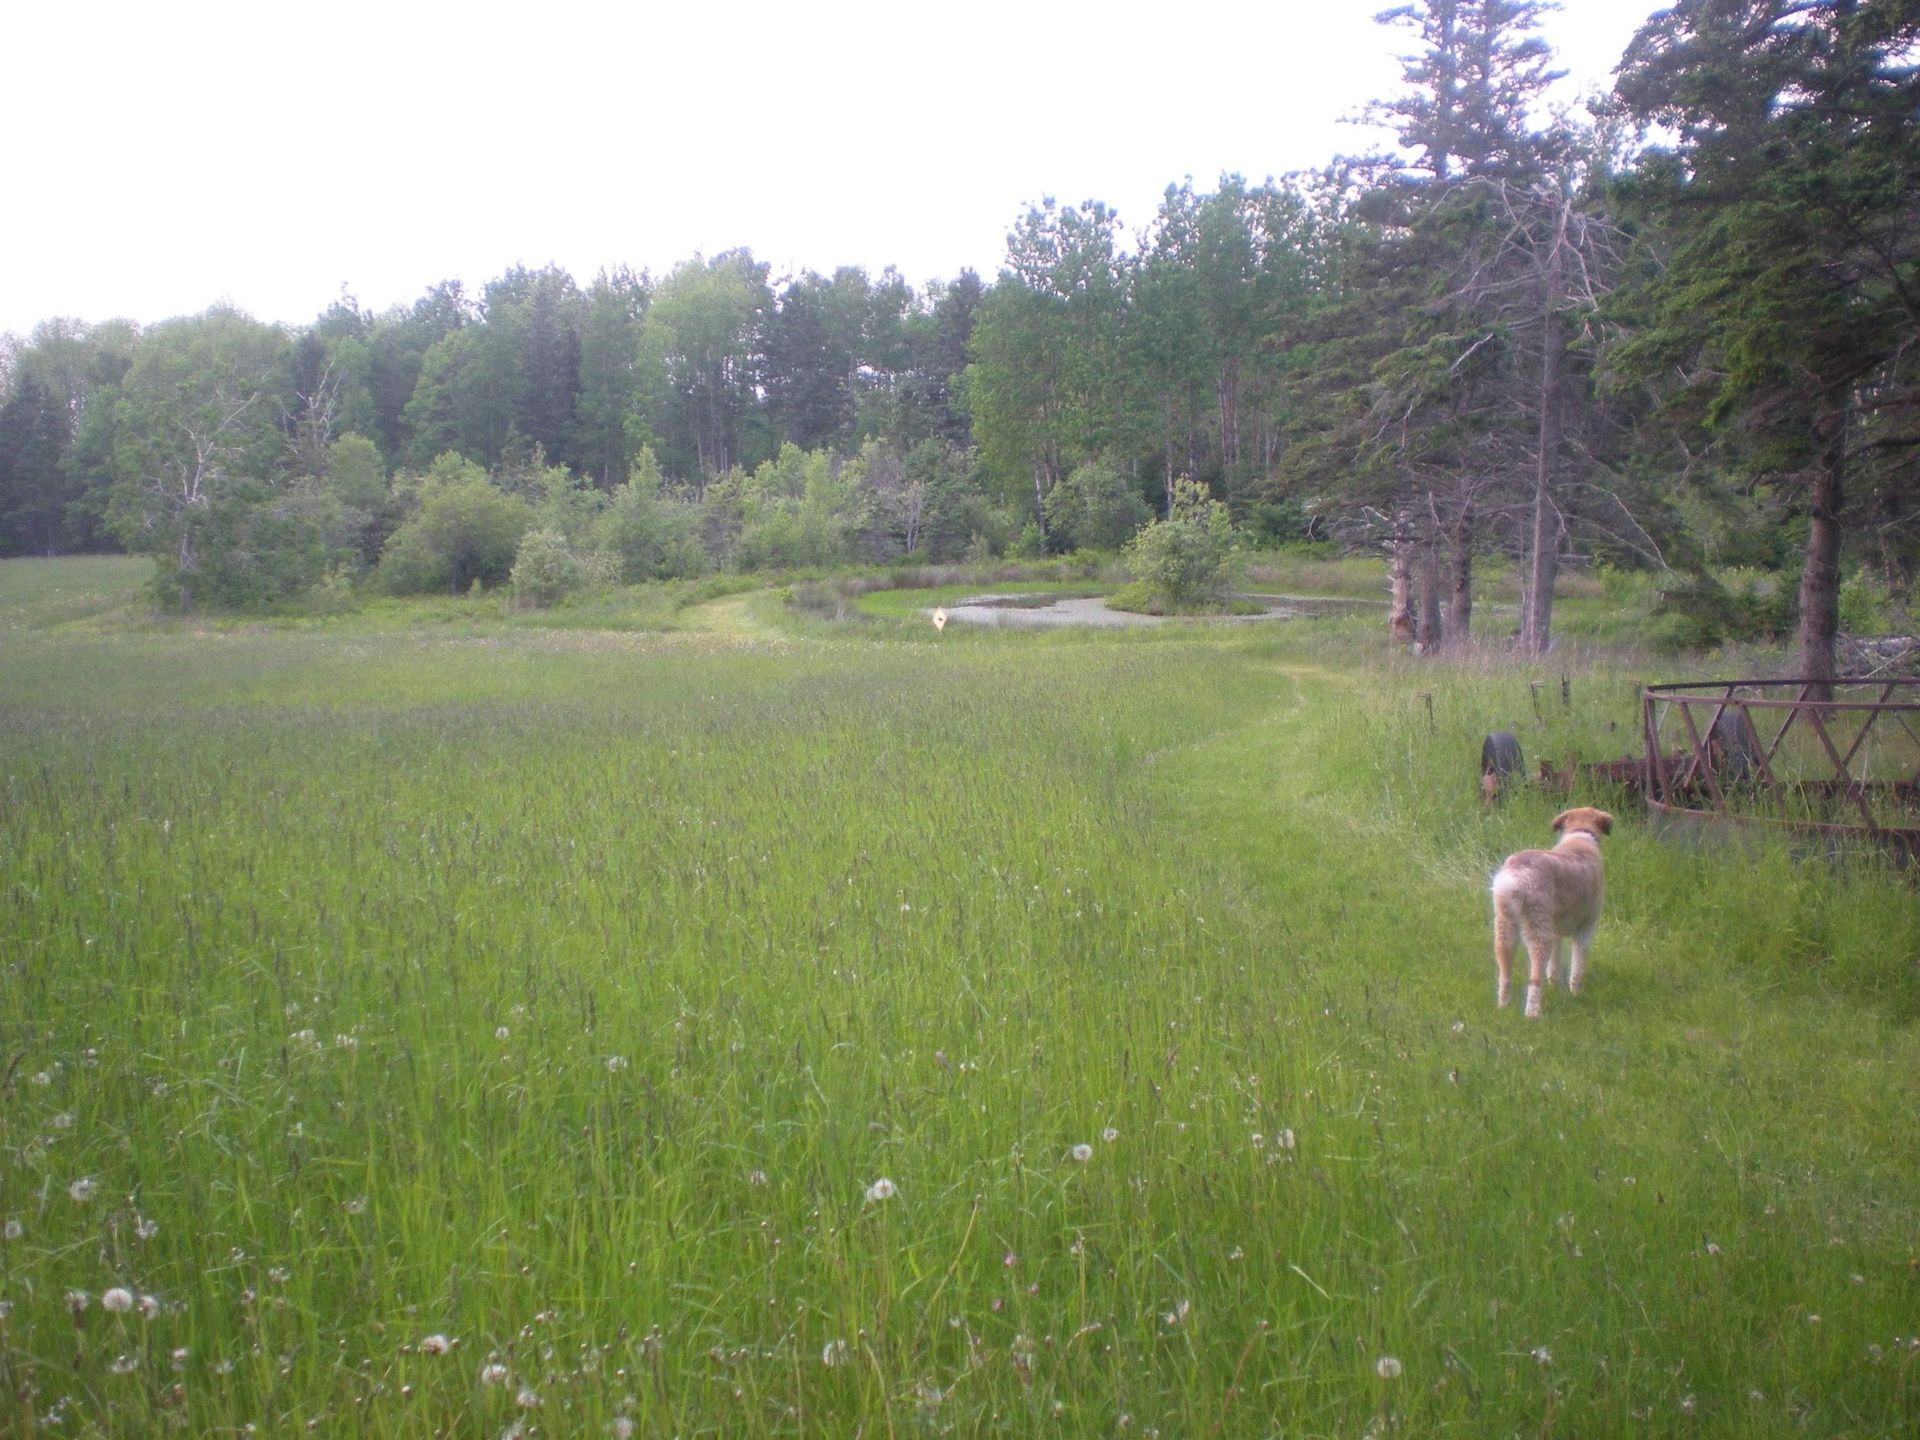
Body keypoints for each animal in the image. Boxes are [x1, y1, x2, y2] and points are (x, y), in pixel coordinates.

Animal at [1489, 806, 1612, 1021]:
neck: (1580, 835)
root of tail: (1515, 876)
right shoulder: (1586, 928)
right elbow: (1577, 965)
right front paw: (1576, 993)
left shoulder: (1555, 931)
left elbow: (1554, 963)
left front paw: (1556, 986)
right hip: (1537, 928)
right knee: (1535, 976)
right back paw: (1533, 1013)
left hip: (1506, 926)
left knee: (1505, 972)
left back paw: (1503, 1006)